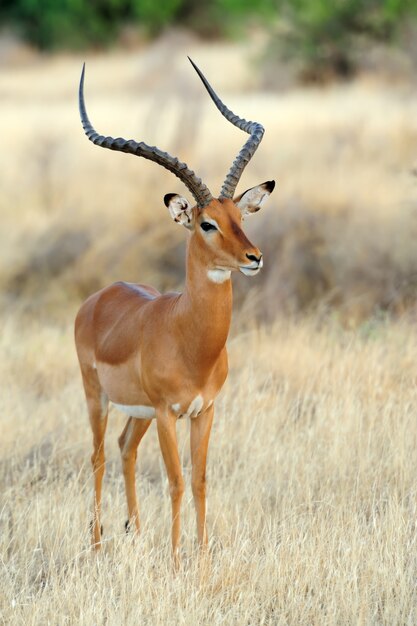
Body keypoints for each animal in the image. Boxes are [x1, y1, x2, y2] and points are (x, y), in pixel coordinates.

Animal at [75, 58, 274, 564]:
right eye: (207, 224)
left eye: (239, 219)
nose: (254, 258)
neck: (191, 340)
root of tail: (98, 297)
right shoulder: (169, 413)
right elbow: (177, 482)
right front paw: (177, 560)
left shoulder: (205, 411)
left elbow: (200, 481)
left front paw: (200, 557)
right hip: (98, 397)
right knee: (99, 455)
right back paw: (98, 543)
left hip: (139, 413)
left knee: (125, 448)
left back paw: (135, 532)